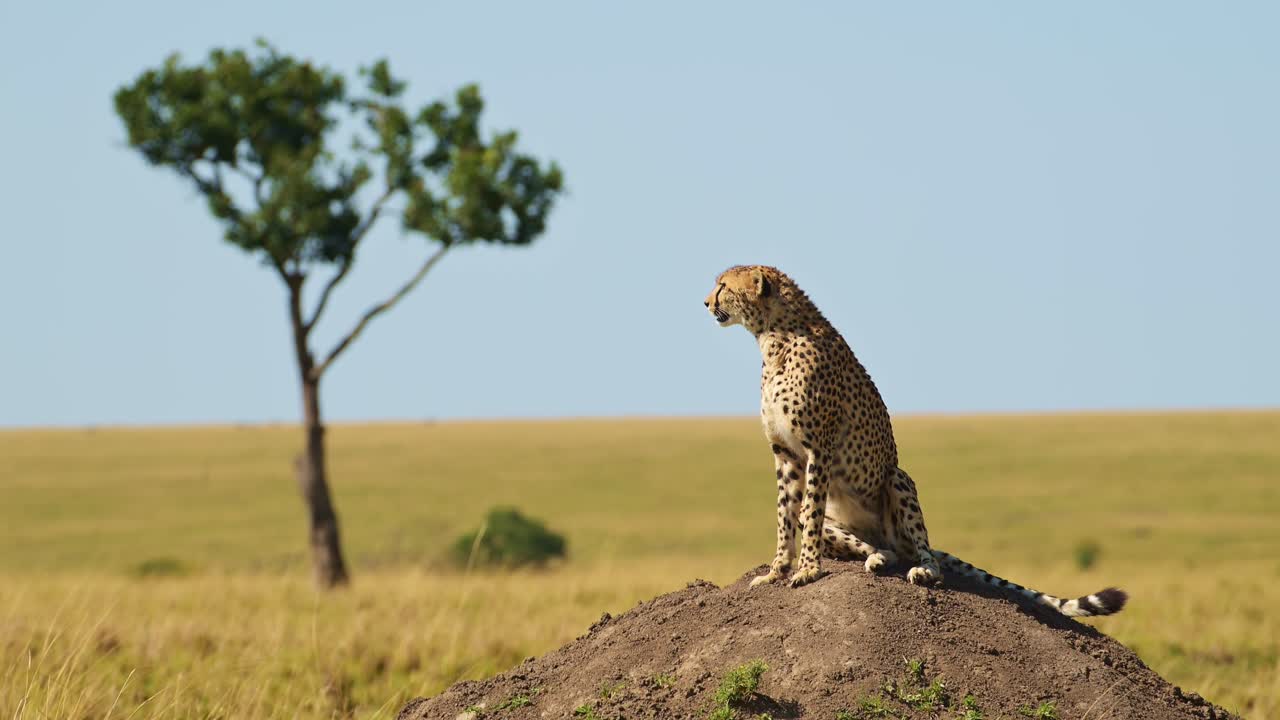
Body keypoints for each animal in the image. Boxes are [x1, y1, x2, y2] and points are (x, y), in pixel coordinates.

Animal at [704, 264, 1127, 618]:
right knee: (885, 550)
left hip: (898, 478)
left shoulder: (817, 449)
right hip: (845, 527)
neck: (774, 337)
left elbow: (806, 514)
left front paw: (807, 570)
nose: (706, 302)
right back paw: (875, 559)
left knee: (922, 554)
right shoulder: (785, 454)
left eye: (723, 286)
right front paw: (776, 571)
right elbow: (786, 516)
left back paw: (922, 570)